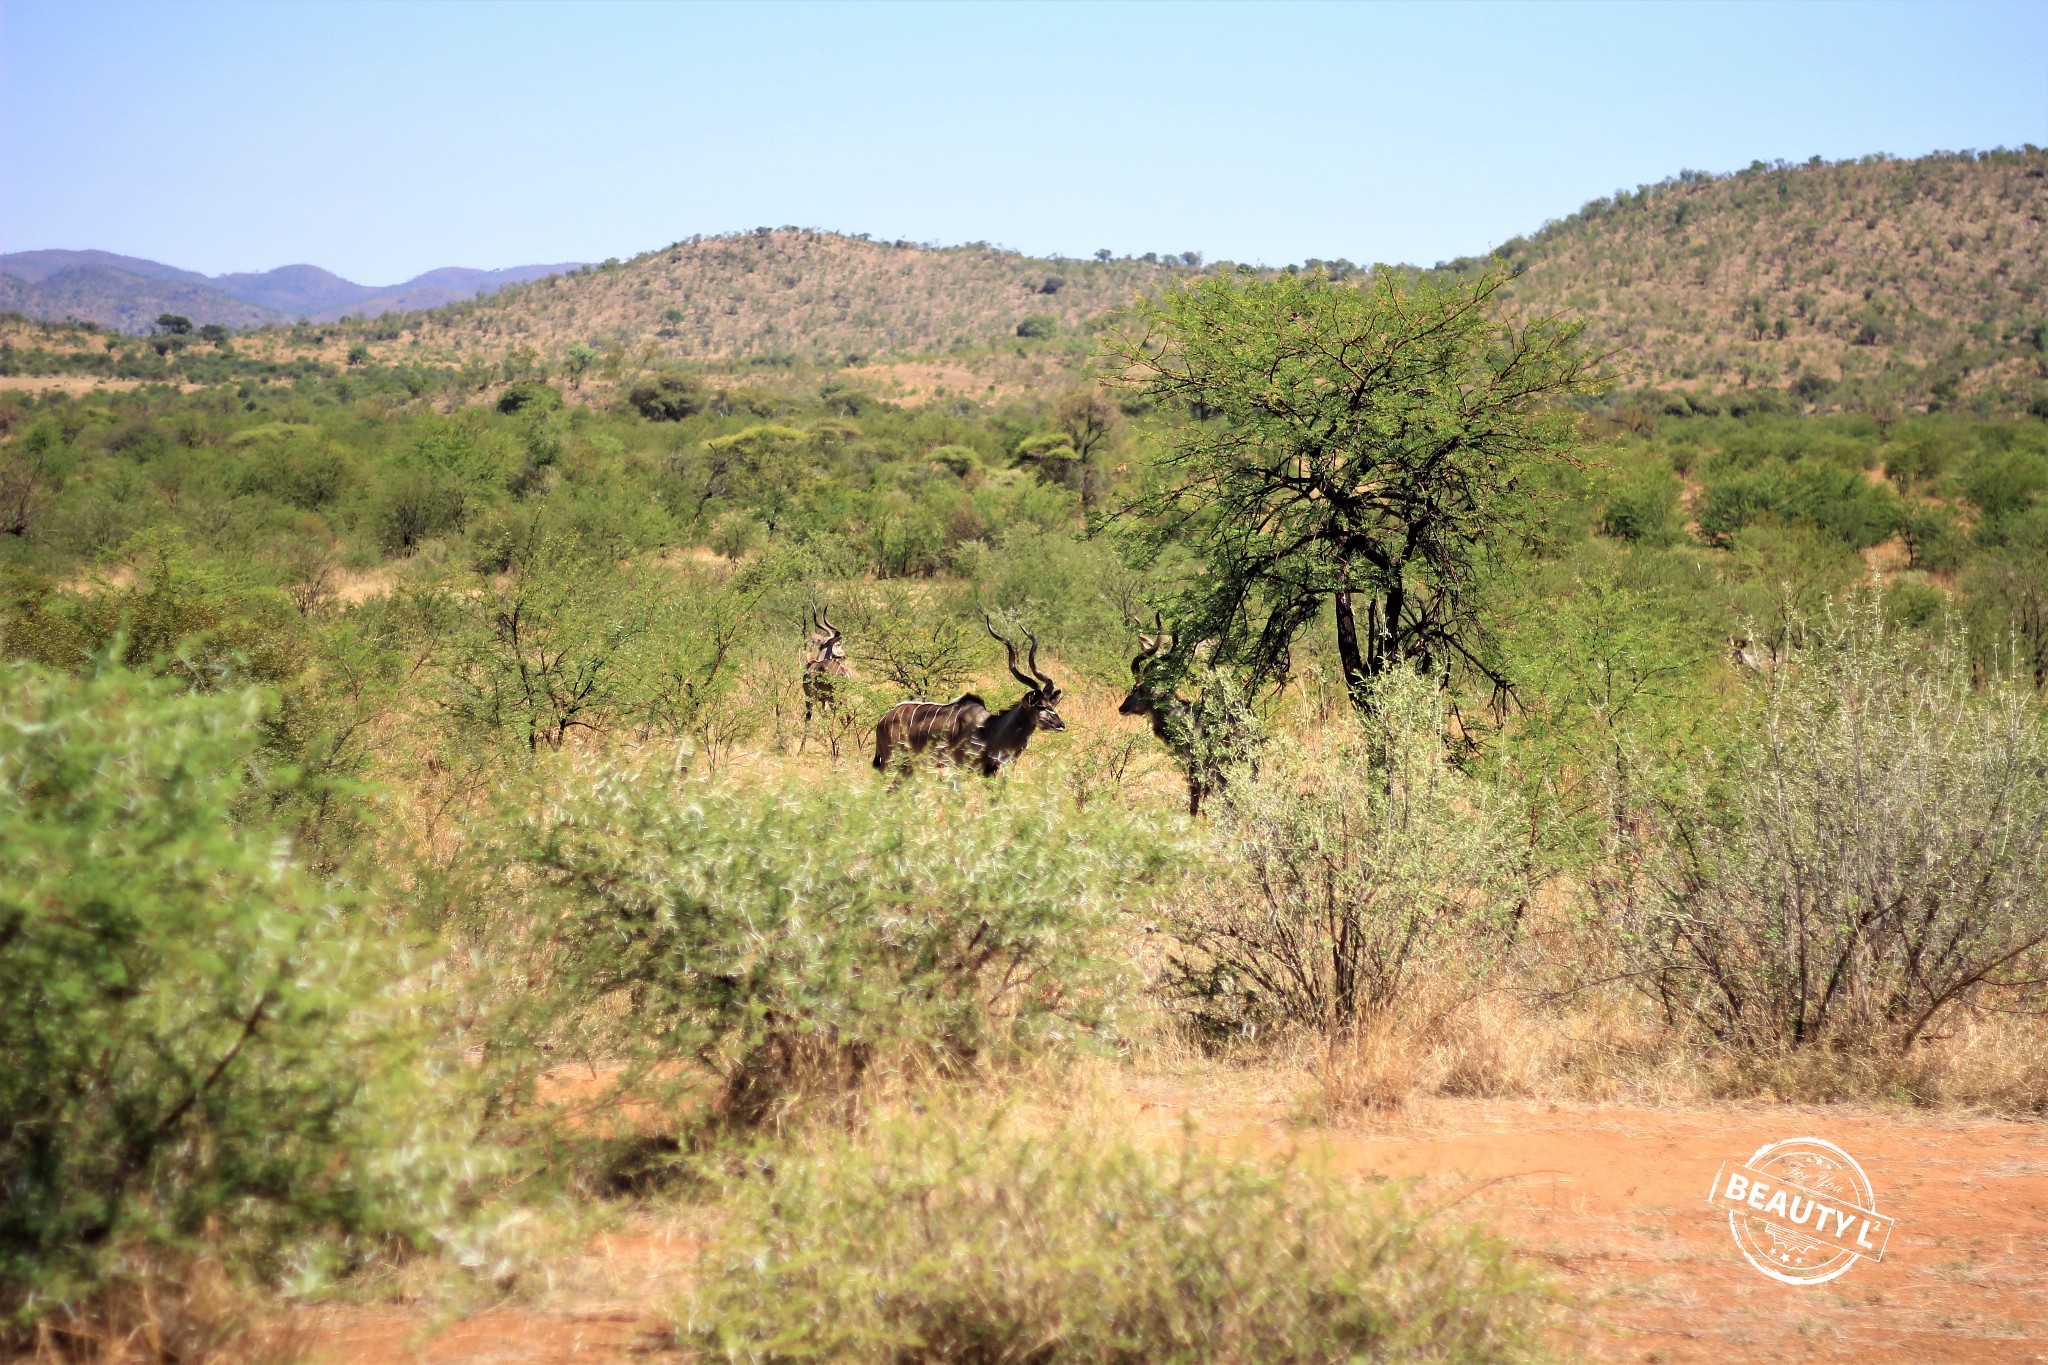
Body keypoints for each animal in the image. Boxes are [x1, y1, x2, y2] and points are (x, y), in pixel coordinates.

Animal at [868, 618, 1064, 777]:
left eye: (1052, 705)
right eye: (1039, 706)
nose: (1061, 725)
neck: (990, 730)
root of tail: (883, 719)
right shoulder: (960, 769)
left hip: (907, 767)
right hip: (891, 762)